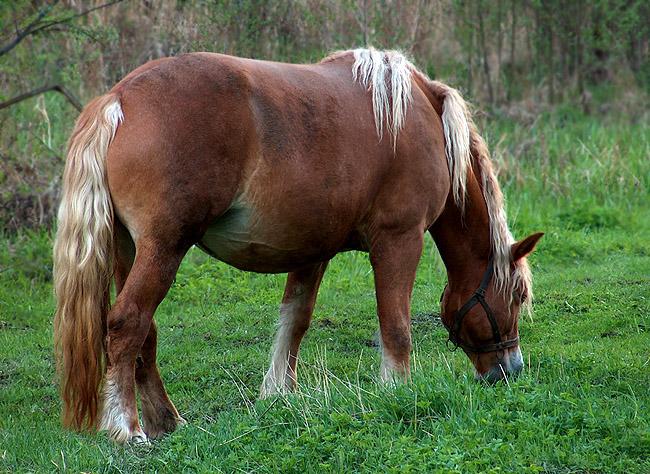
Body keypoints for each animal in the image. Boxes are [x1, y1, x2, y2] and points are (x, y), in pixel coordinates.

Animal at [53, 46, 540, 442]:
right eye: (517, 295)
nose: (511, 370)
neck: (420, 117)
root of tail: (119, 100)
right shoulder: (399, 241)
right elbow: (395, 325)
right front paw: (397, 389)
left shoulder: (313, 252)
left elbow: (295, 321)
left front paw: (277, 393)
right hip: (163, 250)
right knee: (127, 324)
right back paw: (127, 429)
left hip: (129, 253)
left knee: (144, 335)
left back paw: (164, 420)